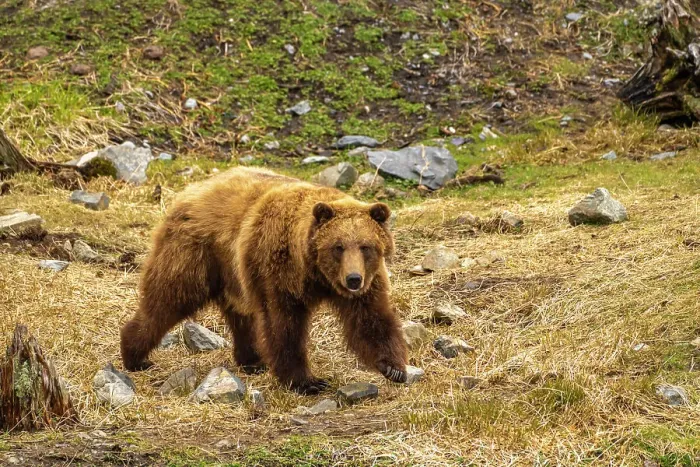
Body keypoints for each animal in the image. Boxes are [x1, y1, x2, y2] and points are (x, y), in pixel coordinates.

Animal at [120, 167, 408, 394]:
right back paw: (135, 355)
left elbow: (371, 318)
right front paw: (306, 381)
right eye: (337, 246)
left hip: (232, 270)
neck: (315, 274)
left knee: (239, 314)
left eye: (365, 246)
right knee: (169, 298)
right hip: (195, 253)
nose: (353, 279)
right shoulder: (280, 272)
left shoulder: (368, 283)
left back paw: (251, 359)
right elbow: (284, 325)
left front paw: (394, 368)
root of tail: (191, 189)